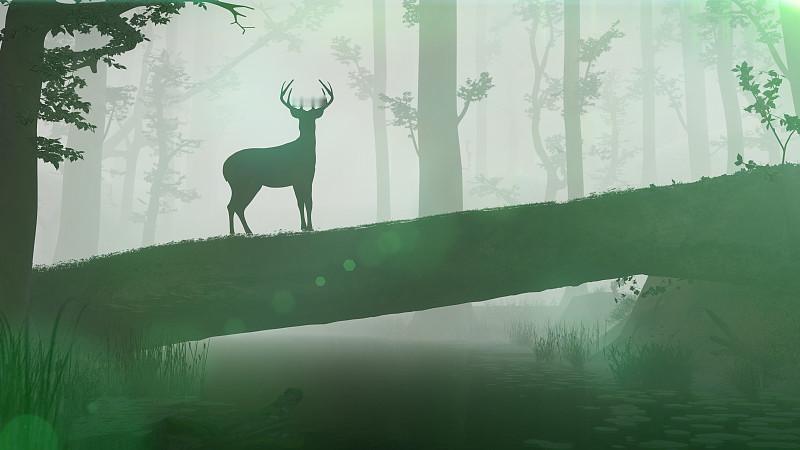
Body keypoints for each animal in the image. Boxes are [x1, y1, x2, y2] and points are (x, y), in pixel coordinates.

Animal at [223, 80, 334, 234]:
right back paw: (235, 232)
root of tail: (224, 168)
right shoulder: (297, 178)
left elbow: (308, 202)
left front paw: (308, 227)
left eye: (312, 117)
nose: (306, 127)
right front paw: (305, 227)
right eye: (300, 117)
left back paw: (247, 231)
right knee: (232, 205)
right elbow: (301, 202)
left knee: (238, 206)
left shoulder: (308, 177)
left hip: (251, 184)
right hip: (240, 182)